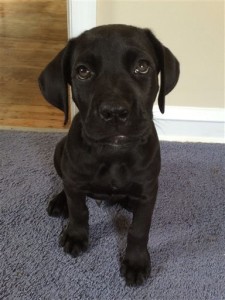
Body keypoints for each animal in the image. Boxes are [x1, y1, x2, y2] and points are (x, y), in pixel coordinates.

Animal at [38, 25, 179, 286]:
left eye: (142, 66)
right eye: (83, 71)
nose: (114, 112)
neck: (113, 155)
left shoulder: (148, 190)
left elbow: (139, 229)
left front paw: (136, 262)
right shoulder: (75, 180)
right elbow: (79, 210)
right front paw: (76, 236)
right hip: (59, 152)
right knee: (65, 186)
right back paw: (60, 201)